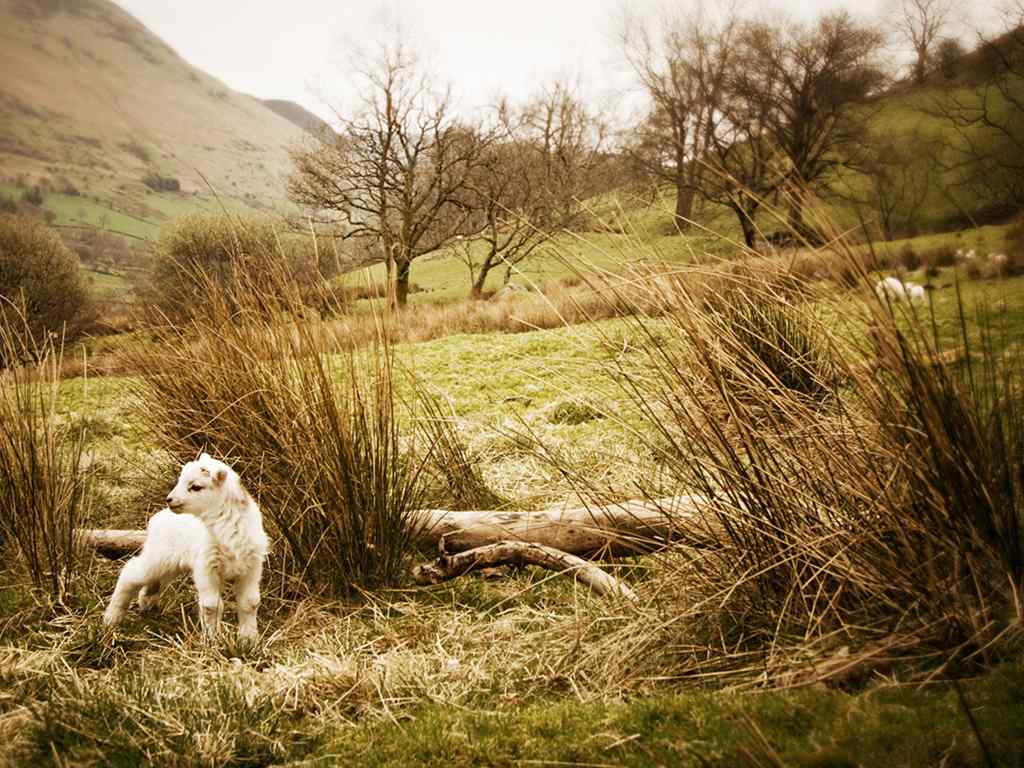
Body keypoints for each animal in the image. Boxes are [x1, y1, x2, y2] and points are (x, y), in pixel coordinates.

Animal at [103, 454, 268, 638]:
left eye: (196, 487)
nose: (169, 499)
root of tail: (158, 517)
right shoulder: (206, 566)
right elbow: (211, 606)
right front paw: (212, 639)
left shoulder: (251, 568)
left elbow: (250, 603)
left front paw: (249, 639)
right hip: (158, 556)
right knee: (129, 573)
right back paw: (111, 618)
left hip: (170, 564)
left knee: (151, 583)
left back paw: (147, 605)